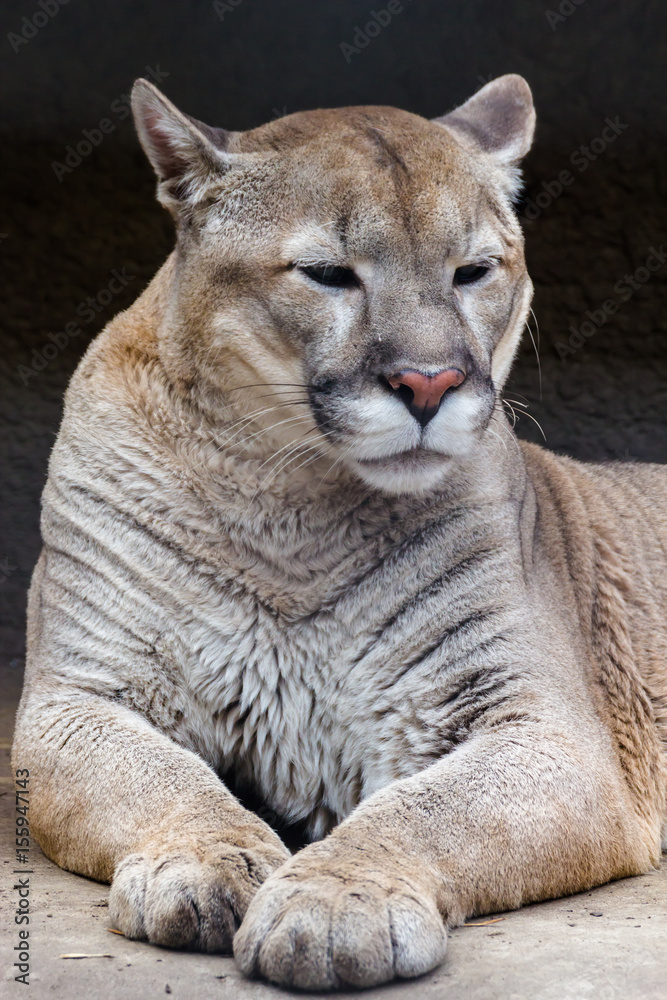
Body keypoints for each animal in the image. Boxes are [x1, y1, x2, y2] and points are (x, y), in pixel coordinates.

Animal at [11, 74, 667, 990]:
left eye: (472, 271)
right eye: (328, 275)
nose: (428, 384)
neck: (291, 512)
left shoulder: (543, 728)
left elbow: (425, 809)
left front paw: (333, 905)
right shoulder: (76, 695)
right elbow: (157, 777)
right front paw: (206, 861)